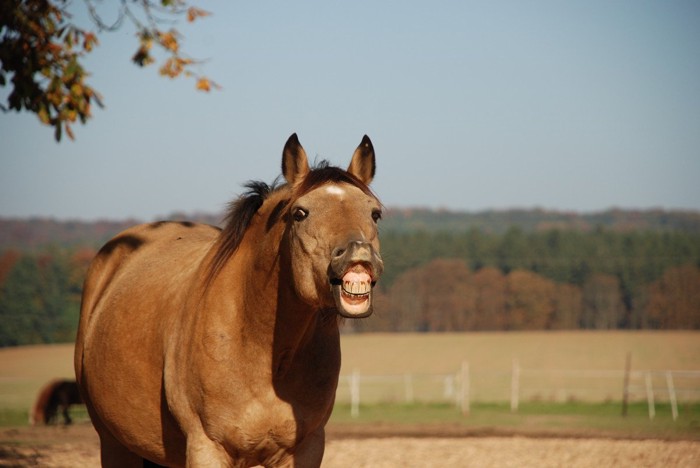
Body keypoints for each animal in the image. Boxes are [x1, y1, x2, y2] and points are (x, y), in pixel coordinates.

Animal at [74, 133, 386, 466]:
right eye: (300, 213)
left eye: (374, 213)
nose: (358, 256)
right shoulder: (206, 448)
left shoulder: (306, 448)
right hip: (114, 443)